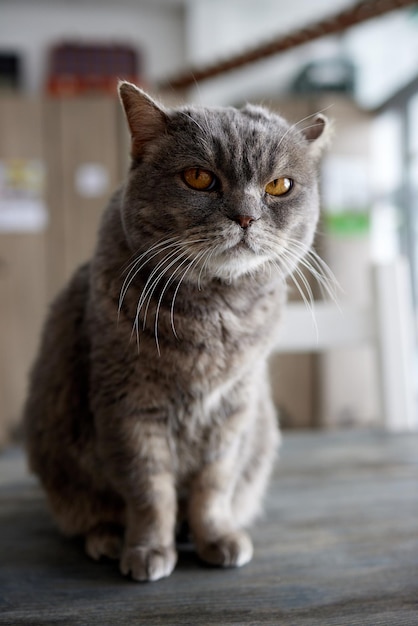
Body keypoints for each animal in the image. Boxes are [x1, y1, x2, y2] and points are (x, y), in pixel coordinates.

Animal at [23, 83, 330, 580]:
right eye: (199, 178)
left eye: (279, 186)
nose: (246, 217)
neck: (213, 316)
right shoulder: (128, 407)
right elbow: (150, 491)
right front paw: (148, 549)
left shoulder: (233, 410)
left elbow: (212, 488)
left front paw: (217, 538)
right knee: (90, 511)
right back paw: (108, 539)